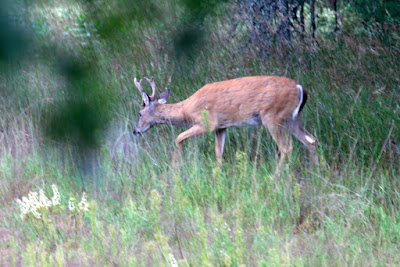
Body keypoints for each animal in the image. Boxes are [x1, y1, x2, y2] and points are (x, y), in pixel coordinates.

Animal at [133, 76, 318, 176]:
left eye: (140, 113)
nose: (135, 131)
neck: (186, 110)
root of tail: (301, 88)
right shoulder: (221, 127)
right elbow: (218, 152)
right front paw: (218, 175)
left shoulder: (206, 123)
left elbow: (178, 138)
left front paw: (174, 168)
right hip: (291, 119)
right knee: (311, 140)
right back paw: (316, 171)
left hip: (272, 116)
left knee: (287, 147)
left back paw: (275, 177)